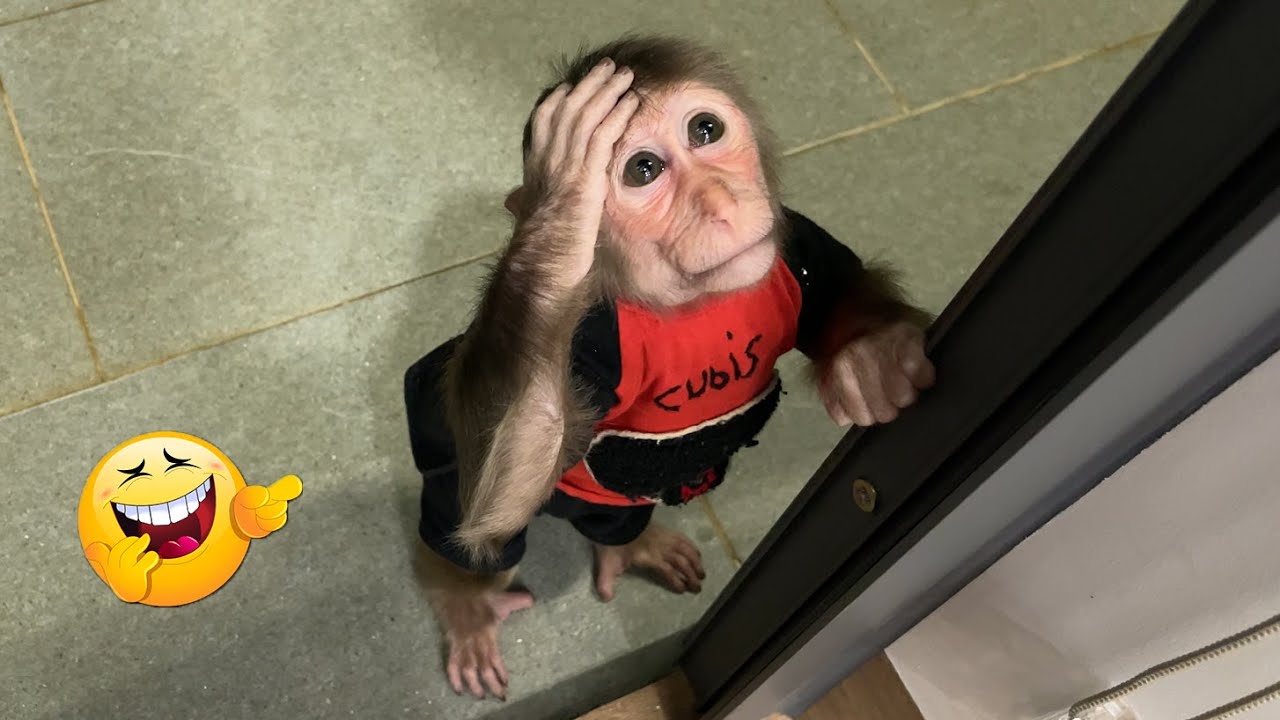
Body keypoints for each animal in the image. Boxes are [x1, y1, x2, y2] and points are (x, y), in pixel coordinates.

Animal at [402, 35, 936, 701]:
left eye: (705, 129)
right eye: (643, 170)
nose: (722, 201)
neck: (687, 309)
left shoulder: (794, 240)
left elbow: (838, 290)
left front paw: (874, 358)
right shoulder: (591, 339)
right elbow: (505, 484)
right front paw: (564, 197)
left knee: (611, 520)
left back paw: (627, 548)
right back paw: (468, 605)